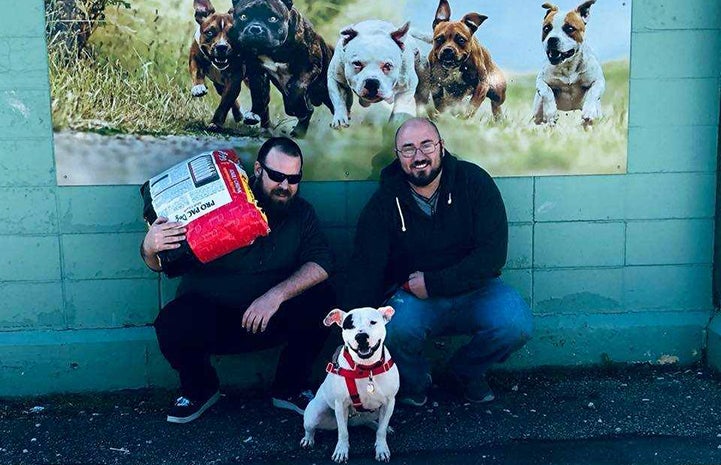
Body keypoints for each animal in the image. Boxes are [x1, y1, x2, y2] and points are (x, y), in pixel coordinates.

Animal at [300, 304, 400, 460]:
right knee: (310, 428)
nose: (361, 336)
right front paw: (341, 451)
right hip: (314, 414)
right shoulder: (341, 406)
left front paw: (382, 448)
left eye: (373, 322)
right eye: (350, 325)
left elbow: (381, 430)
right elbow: (343, 432)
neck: (365, 368)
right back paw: (308, 439)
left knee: (372, 422)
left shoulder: (389, 403)